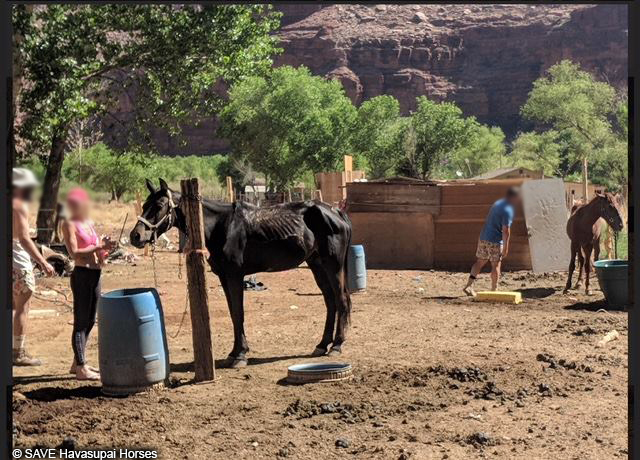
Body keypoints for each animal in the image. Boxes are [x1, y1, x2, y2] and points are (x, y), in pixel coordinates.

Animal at [129, 178, 353, 368]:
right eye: (144, 205)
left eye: (159, 206)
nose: (135, 236)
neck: (222, 226)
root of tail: (335, 212)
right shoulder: (224, 277)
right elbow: (232, 313)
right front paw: (234, 353)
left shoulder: (235, 275)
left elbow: (238, 313)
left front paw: (240, 356)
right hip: (316, 264)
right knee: (330, 301)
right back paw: (322, 345)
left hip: (333, 265)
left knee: (340, 299)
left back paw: (336, 345)